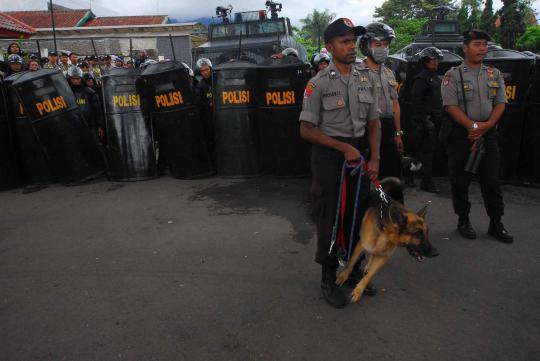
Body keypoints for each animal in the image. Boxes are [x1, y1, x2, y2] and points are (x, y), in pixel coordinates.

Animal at [300, 18, 384, 308]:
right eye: (344, 39)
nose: (351, 48)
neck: (345, 70)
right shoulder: (313, 91)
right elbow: (309, 127)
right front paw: (349, 150)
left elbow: (372, 119)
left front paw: (355, 276)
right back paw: (330, 281)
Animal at [440, 30, 512, 242]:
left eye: (482, 43)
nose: (483, 49)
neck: (473, 66)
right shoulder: (449, 79)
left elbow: (493, 187)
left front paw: (498, 227)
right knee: (459, 185)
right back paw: (464, 224)